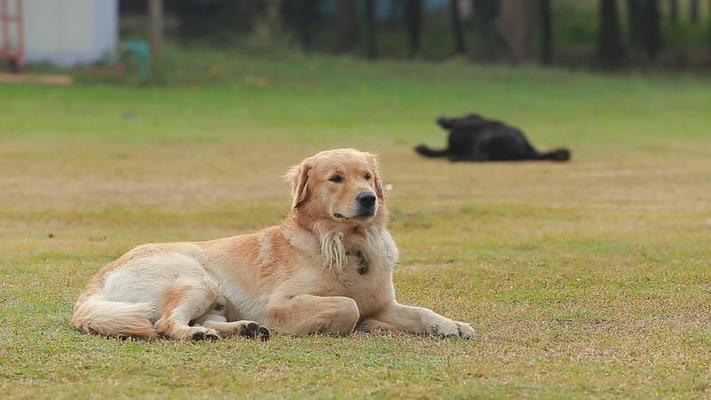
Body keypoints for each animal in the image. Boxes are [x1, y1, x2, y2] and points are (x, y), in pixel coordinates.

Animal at [72, 149, 476, 340]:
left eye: (366, 176)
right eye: (336, 178)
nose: (369, 198)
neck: (347, 245)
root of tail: (93, 286)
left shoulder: (384, 302)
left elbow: (421, 312)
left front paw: (451, 325)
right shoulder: (278, 305)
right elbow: (348, 307)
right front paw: (362, 326)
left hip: (215, 300)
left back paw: (242, 330)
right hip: (197, 279)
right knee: (166, 323)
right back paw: (199, 334)